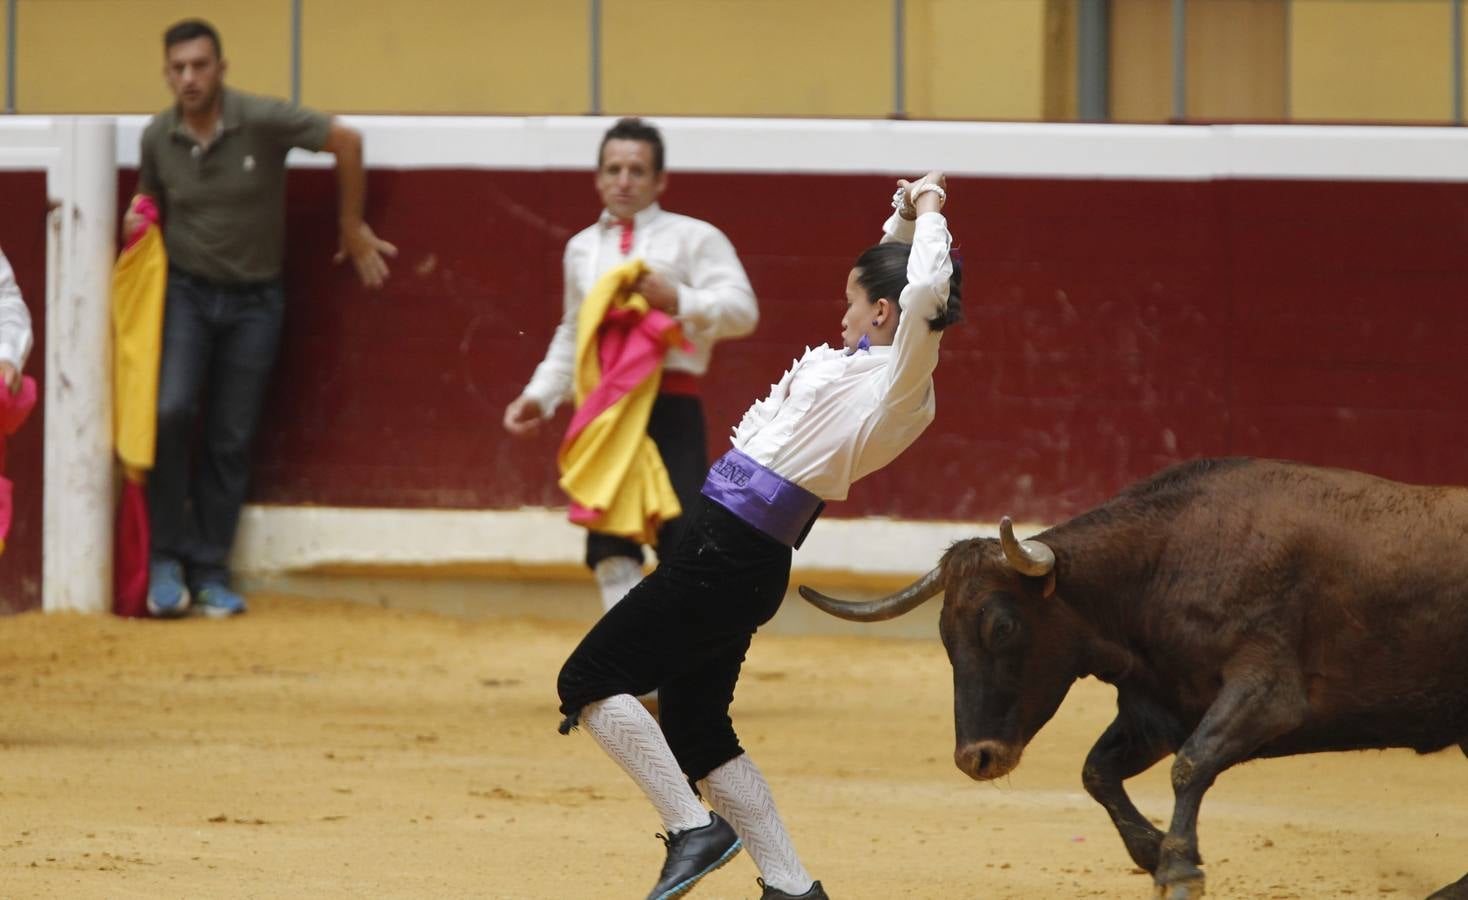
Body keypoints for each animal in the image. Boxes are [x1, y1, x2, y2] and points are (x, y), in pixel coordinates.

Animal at [804, 461, 1468, 892]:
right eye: (944, 637)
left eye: (1003, 626)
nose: (978, 758)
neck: (1161, 567)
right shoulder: (1159, 709)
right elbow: (1098, 770)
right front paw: (1154, 853)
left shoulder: (1268, 694)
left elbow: (1192, 763)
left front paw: (1179, 868)